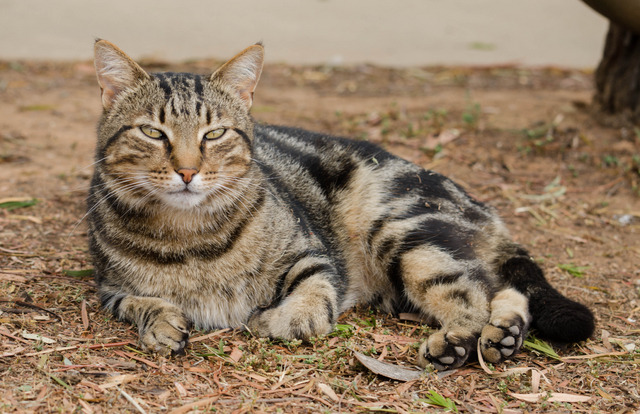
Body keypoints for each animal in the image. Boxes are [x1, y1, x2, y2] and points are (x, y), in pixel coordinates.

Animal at [87, 38, 592, 368]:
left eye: (214, 134)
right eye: (152, 132)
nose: (188, 172)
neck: (190, 236)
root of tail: (480, 206)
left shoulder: (313, 255)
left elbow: (311, 301)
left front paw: (274, 321)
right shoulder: (109, 288)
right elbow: (139, 302)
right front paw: (162, 325)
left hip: (400, 233)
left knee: (471, 291)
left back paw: (461, 340)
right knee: (501, 288)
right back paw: (503, 335)